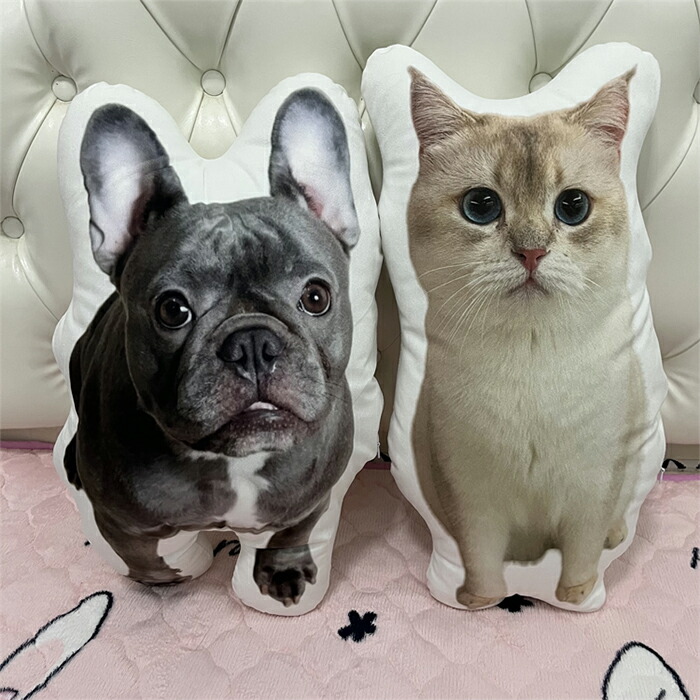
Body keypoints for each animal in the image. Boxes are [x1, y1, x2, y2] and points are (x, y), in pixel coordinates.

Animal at [63, 88, 360, 607]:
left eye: (316, 297)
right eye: (172, 309)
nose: (253, 343)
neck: (233, 463)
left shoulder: (314, 498)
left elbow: (292, 532)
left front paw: (282, 569)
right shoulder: (120, 522)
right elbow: (139, 555)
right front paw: (165, 577)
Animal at [407, 67, 646, 609]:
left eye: (573, 206)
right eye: (480, 206)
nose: (532, 252)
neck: (530, 357)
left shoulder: (593, 486)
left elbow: (582, 550)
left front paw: (576, 594)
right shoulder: (470, 494)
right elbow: (480, 557)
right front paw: (479, 599)